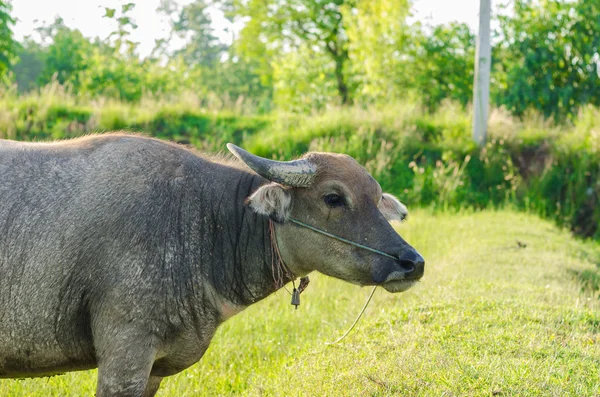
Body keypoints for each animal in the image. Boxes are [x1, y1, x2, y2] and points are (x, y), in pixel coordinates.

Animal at [0, 134, 424, 396]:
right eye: (334, 197)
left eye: (376, 198)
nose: (412, 262)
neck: (201, 220)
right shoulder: (124, 355)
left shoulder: (153, 370)